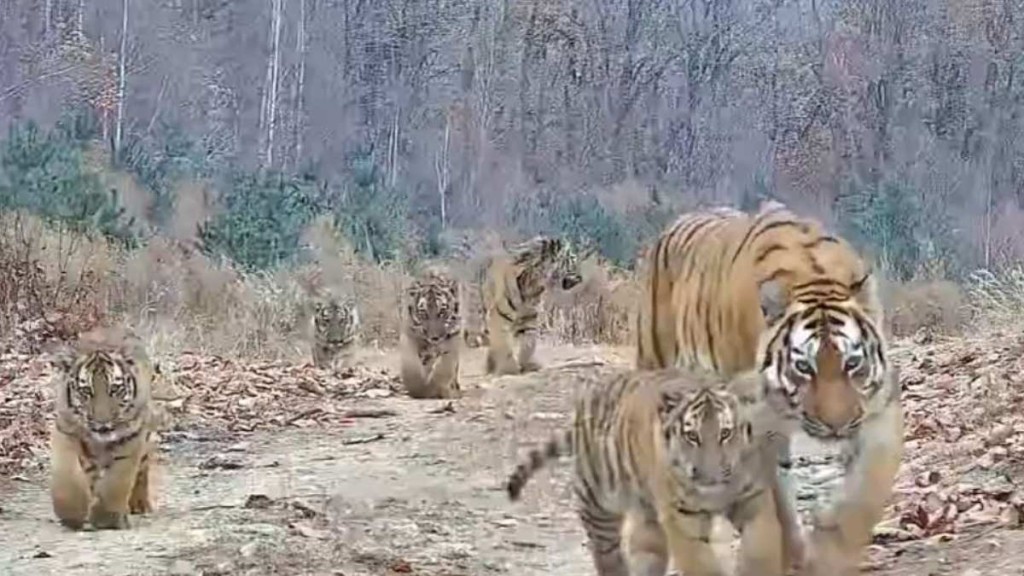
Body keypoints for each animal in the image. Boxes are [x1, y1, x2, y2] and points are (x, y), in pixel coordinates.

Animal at [48, 325, 160, 530]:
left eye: (114, 389)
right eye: (86, 391)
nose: (102, 423)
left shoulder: (131, 438)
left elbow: (117, 481)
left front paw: (105, 519)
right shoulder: (65, 431)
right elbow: (67, 478)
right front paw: (71, 516)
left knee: (143, 468)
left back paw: (139, 505)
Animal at [399, 267, 463, 399]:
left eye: (442, 312)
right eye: (423, 313)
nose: (435, 337)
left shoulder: (452, 337)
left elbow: (445, 367)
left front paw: (442, 390)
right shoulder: (410, 336)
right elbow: (411, 370)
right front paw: (421, 390)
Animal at [479, 236, 586, 375]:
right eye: (572, 260)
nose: (580, 277)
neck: (533, 285)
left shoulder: (529, 318)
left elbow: (529, 343)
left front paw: (529, 365)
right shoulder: (499, 317)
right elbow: (504, 345)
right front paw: (509, 369)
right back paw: (491, 366)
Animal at [505, 367, 788, 576]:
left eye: (725, 433)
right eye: (692, 436)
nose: (711, 476)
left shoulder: (753, 500)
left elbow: (761, 550)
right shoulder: (681, 519)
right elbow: (703, 565)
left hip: (646, 517)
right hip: (598, 502)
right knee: (606, 554)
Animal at [635, 201, 903, 576]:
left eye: (852, 363)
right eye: (804, 367)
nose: (836, 426)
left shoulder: (877, 407)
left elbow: (869, 485)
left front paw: (833, 545)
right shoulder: (757, 424)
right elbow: (778, 503)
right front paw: (797, 556)